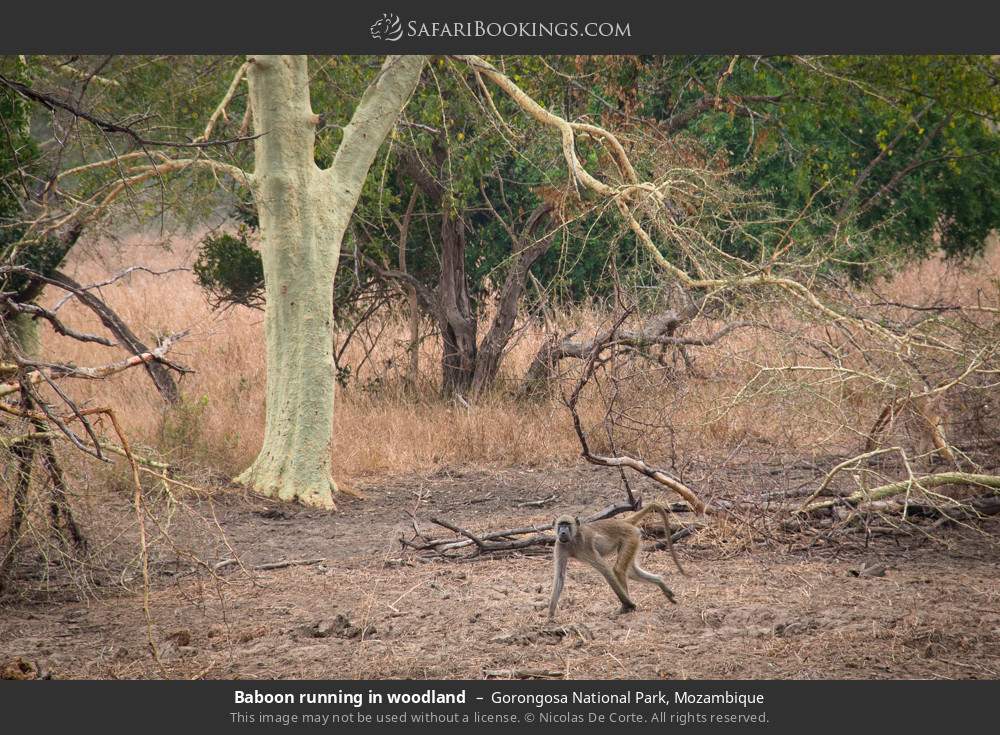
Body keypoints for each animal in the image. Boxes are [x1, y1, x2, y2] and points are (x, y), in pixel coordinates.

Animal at [548, 503, 687, 619]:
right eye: (560, 525)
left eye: (567, 524)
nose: (563, 532)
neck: (573, 539)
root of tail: (623, 521)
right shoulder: (560, 545)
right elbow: (560, 577)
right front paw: (550, 616)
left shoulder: (585, 545)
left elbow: (605, 570)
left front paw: (630, 605)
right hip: (634, 540)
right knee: (630, 572)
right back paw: (660, 583)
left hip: (630, 538)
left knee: (618, 570)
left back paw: (626, 608)